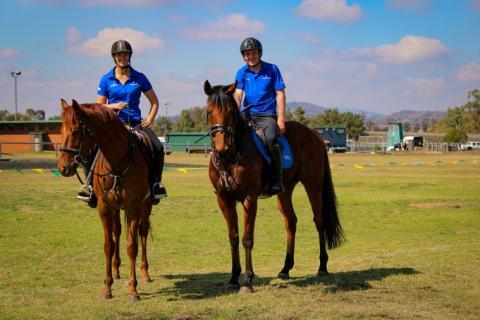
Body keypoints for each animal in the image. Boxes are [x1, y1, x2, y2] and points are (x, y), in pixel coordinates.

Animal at [56, 99, 154, 302]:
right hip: (116, 209)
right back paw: (116, 271)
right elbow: (108, 245)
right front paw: (107, 288)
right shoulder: (104, 207)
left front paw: (133, 290)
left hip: (146, 206)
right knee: (117, 232)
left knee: (142, 233)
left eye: (76, 131)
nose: (63, 168)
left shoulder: (133, 206)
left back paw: (145, 273)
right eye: (61, 130)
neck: (117, 162)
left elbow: (132, 246)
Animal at [204, 80, 344, 292]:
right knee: (291, 222)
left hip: (313, 186)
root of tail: (314, 134)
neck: (231, 156)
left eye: (229, 111)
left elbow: (247, 238)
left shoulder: (249, 199)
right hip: (284, 192)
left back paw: (322, 267)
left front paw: (248, 280)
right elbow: (233, 238)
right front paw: (234, 278)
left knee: (319, 221)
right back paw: (286, 268)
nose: (222, 148)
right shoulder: (224, 199)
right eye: (209, 111)